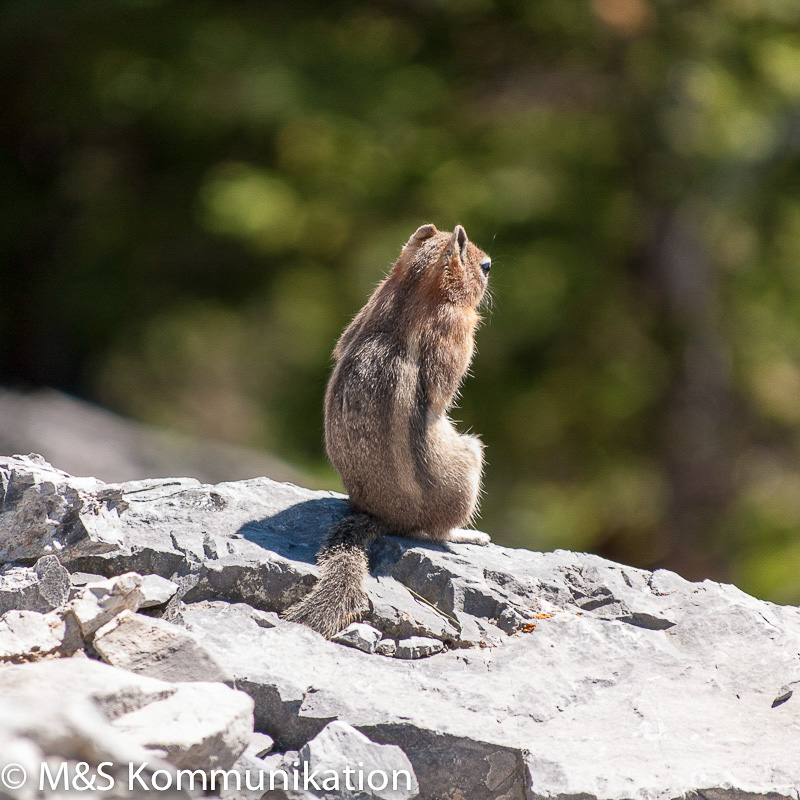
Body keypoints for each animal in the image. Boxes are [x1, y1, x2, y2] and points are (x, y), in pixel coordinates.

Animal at [284, 223, 490, 636]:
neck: (412, 286)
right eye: (482, 266)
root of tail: (377, 514)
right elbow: (444, 388)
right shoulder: (454, 330)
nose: (491, 265)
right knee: (430, 532)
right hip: (467, 463)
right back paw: (469, 534)